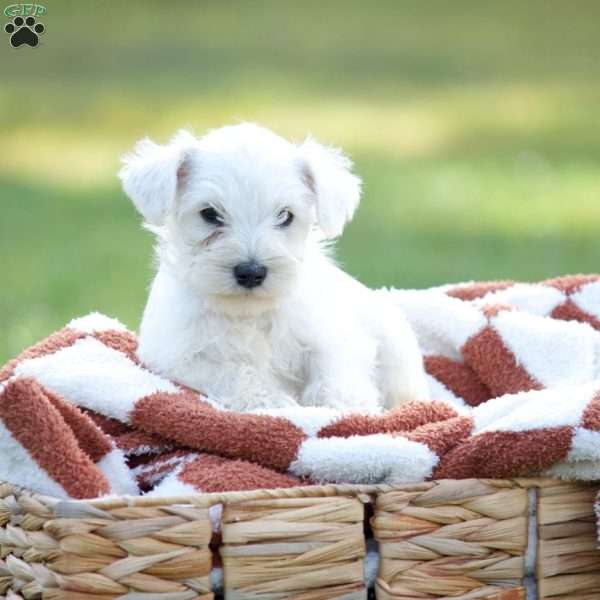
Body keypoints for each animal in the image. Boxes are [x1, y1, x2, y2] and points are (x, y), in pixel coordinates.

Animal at [119, 122, 426, 412]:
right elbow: (235, 373)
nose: (251, 272)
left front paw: (346, 407)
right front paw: (270, 401)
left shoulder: (332, 334)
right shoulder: (176, 357)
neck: (249, 313)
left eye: (285, 216)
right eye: (210, 214)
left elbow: (335, 368)